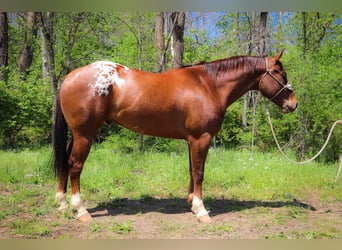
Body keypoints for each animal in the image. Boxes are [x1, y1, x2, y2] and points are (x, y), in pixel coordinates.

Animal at [52, 49, 296, 223]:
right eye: (280, 74)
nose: (293, 104)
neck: (209, 85)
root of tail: (70, 77)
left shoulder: (192, 140)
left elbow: (191, 170)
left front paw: (192, 204)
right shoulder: (201, 138)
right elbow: (199, 173)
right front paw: (201, 210)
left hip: (77, 134)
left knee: (65, 161)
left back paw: (62, 203)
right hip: (85, 134)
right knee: (75, 165)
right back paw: (81, 210)